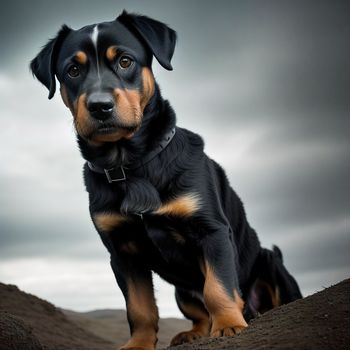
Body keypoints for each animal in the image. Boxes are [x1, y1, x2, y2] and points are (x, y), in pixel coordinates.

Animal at [30, 10, 302, 350]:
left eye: (125, 61)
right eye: (73, 70)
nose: (100, 106)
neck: (129, 162)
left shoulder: (211, 230)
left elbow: (218, 287)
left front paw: (229, 325)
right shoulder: (122, 252)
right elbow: (139, 307)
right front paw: (138, 344)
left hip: (270, 263)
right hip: (181, 292)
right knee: (197, 313)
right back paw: (192, 333)